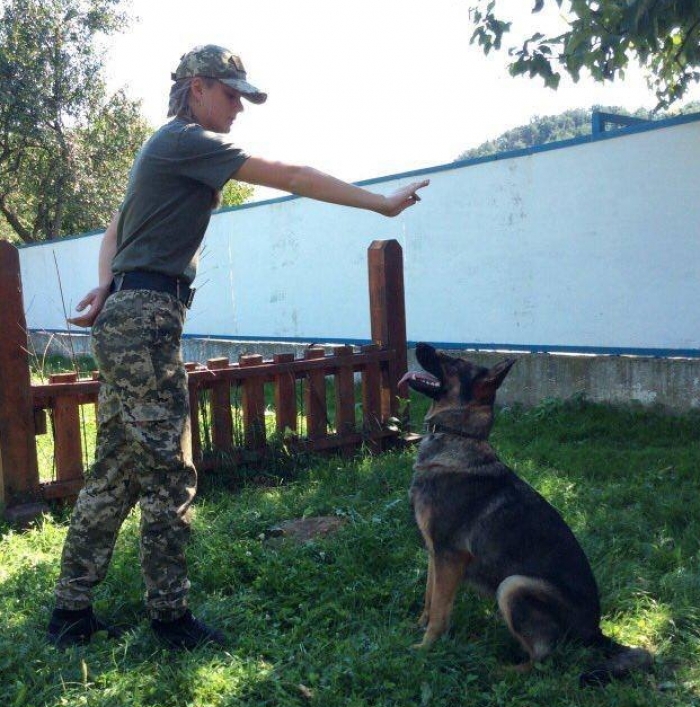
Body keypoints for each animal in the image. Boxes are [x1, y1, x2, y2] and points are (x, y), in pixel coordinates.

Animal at [402, 342, 652, 684]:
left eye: (452, 361)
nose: (419, 345)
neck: (459, 438)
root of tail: (596, 633)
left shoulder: (449, 556)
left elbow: (440, 611)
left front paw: (425, 649)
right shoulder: (435, 554)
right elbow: (429, 599)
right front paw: (417, 628)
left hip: (514, 586)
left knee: (544, 660)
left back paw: (499, 670)